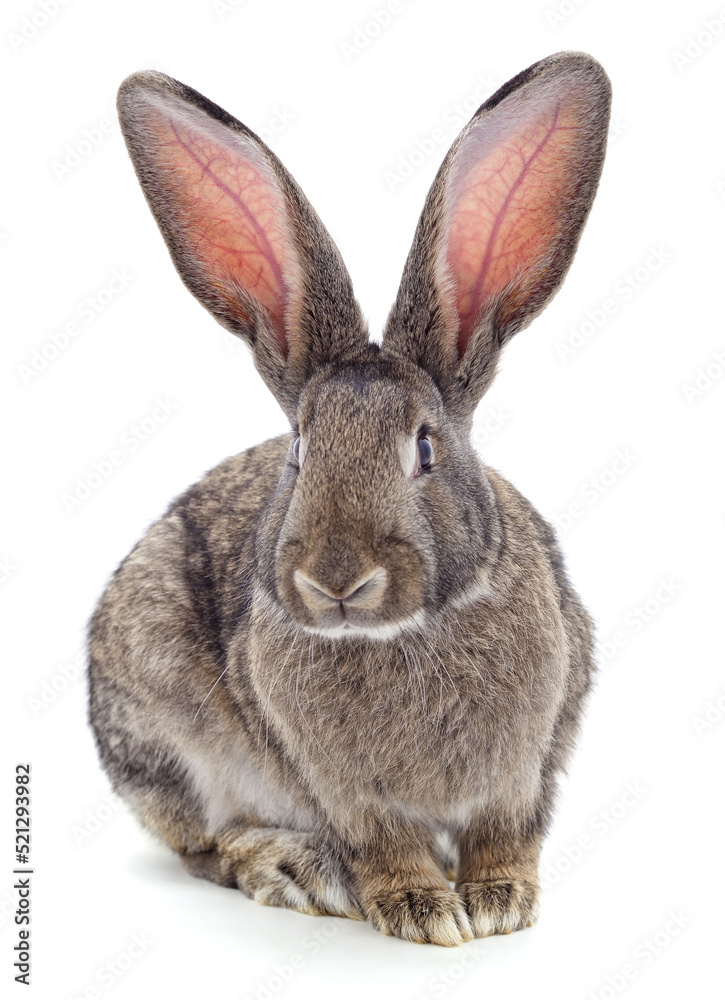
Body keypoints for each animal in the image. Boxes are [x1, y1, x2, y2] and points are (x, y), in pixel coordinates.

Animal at [88, 51, 611, 947]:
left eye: (425, 448)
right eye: (299, 451)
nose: (335, 581)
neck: (401, 635)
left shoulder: (528, 766)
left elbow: (506, 833)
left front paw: (500, 903)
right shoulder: (346, 793)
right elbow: (384, 844)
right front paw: (422, 911)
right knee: (208, 846)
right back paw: (298, 868)